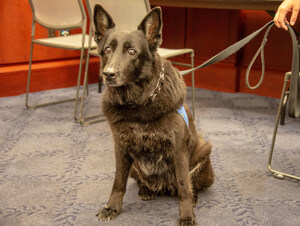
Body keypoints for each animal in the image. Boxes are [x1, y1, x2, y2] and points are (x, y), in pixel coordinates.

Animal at [94, 4, 213, 225]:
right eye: (107, 49)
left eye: (132, 51)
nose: (108, 74)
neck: (137, 105)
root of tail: (164, 186)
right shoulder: (121, 148)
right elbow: (118, 182)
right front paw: (112, 207)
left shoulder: (178, 150)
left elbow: (184, 185)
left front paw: (186, 215)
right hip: (134, 166)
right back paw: (146, 190)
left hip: (204, 156)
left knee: (191, 185)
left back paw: (193, 197)